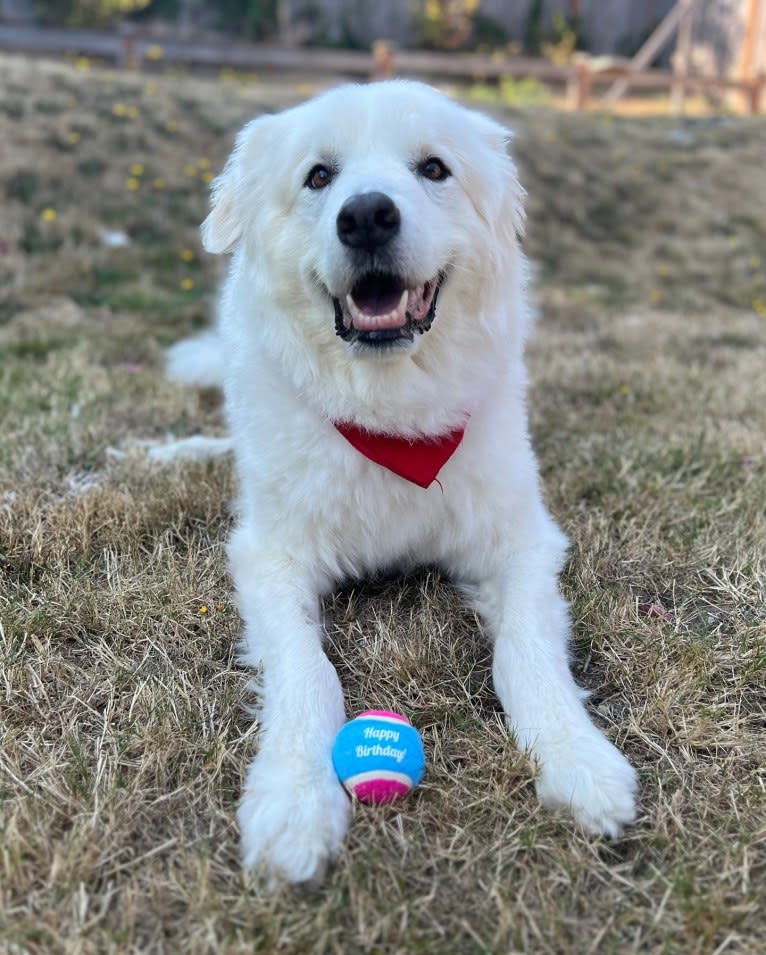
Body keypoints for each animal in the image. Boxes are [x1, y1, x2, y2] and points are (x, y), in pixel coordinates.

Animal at [170, 78, 640, 884]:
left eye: (433, 168)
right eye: (318, 177)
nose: (365, 215)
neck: (391, 415)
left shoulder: (522, 544)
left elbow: (525, 654)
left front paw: (579, 759)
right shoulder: (270, 557)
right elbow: (307, 672)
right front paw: (294, 799)